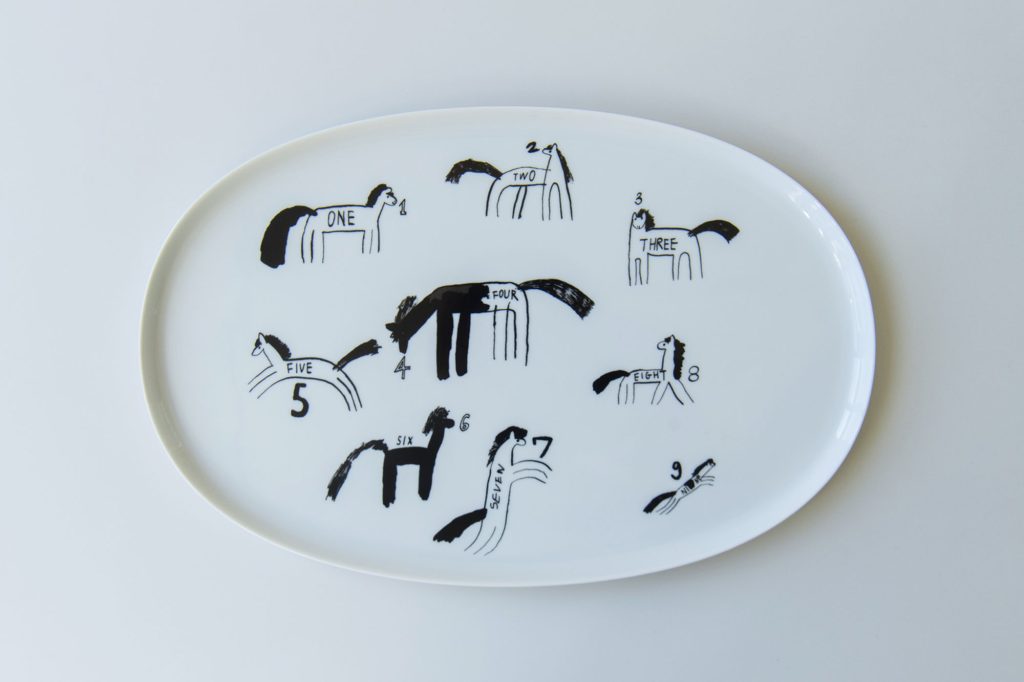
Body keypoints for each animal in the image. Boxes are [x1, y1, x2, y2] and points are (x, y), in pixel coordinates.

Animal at [247, 333, 380, 411]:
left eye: (259, 346)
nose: (252, 354)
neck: (279, 362)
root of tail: (335, 367)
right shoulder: (274, 371)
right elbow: (262, 375)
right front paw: (251, 387)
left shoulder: (278, 372)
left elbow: (264, 377)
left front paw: (252, 388)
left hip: (335, 378)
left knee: (348, 387)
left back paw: (355, 406)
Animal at [259, 184, 399, 267]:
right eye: (388, 195)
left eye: (392, 194)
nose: (396, 201)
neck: (371, 212)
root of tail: (313, 212)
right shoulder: (370, 230)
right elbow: (369, 248)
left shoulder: (371, 231)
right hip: (315, 232)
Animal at [325, 407, 457, 508]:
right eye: (442, 419)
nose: (453, 422)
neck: (431, 450)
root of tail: (386, 451)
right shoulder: (426, 466)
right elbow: (424, 485)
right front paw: (423, 497)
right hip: (389, 467)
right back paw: (388, 504)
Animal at [385, 279, 594, 380]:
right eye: (395, 337)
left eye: (400, 334)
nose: (402, 352)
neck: (434, 301)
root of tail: (520, 286)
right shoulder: (461, 313)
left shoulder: (449, 313)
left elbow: (448, 345)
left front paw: (448, 374)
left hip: (519, 313)